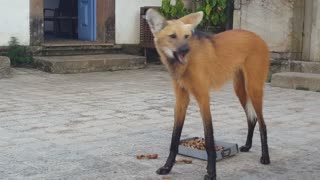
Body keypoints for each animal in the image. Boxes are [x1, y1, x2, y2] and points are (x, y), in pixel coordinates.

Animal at [146, 8, 270, 180]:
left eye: (186, 36)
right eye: (172, 36)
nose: (185, 50)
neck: (184, 65)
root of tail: (258, 36)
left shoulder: (203, 96)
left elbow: (209, 137)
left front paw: (211, 173)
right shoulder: (181, 98)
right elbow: (175, 137)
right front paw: (167, 167)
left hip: (253, 87)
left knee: (262, 123)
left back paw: (265, 157)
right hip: (239, 89)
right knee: (252, 118)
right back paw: (247, 145)